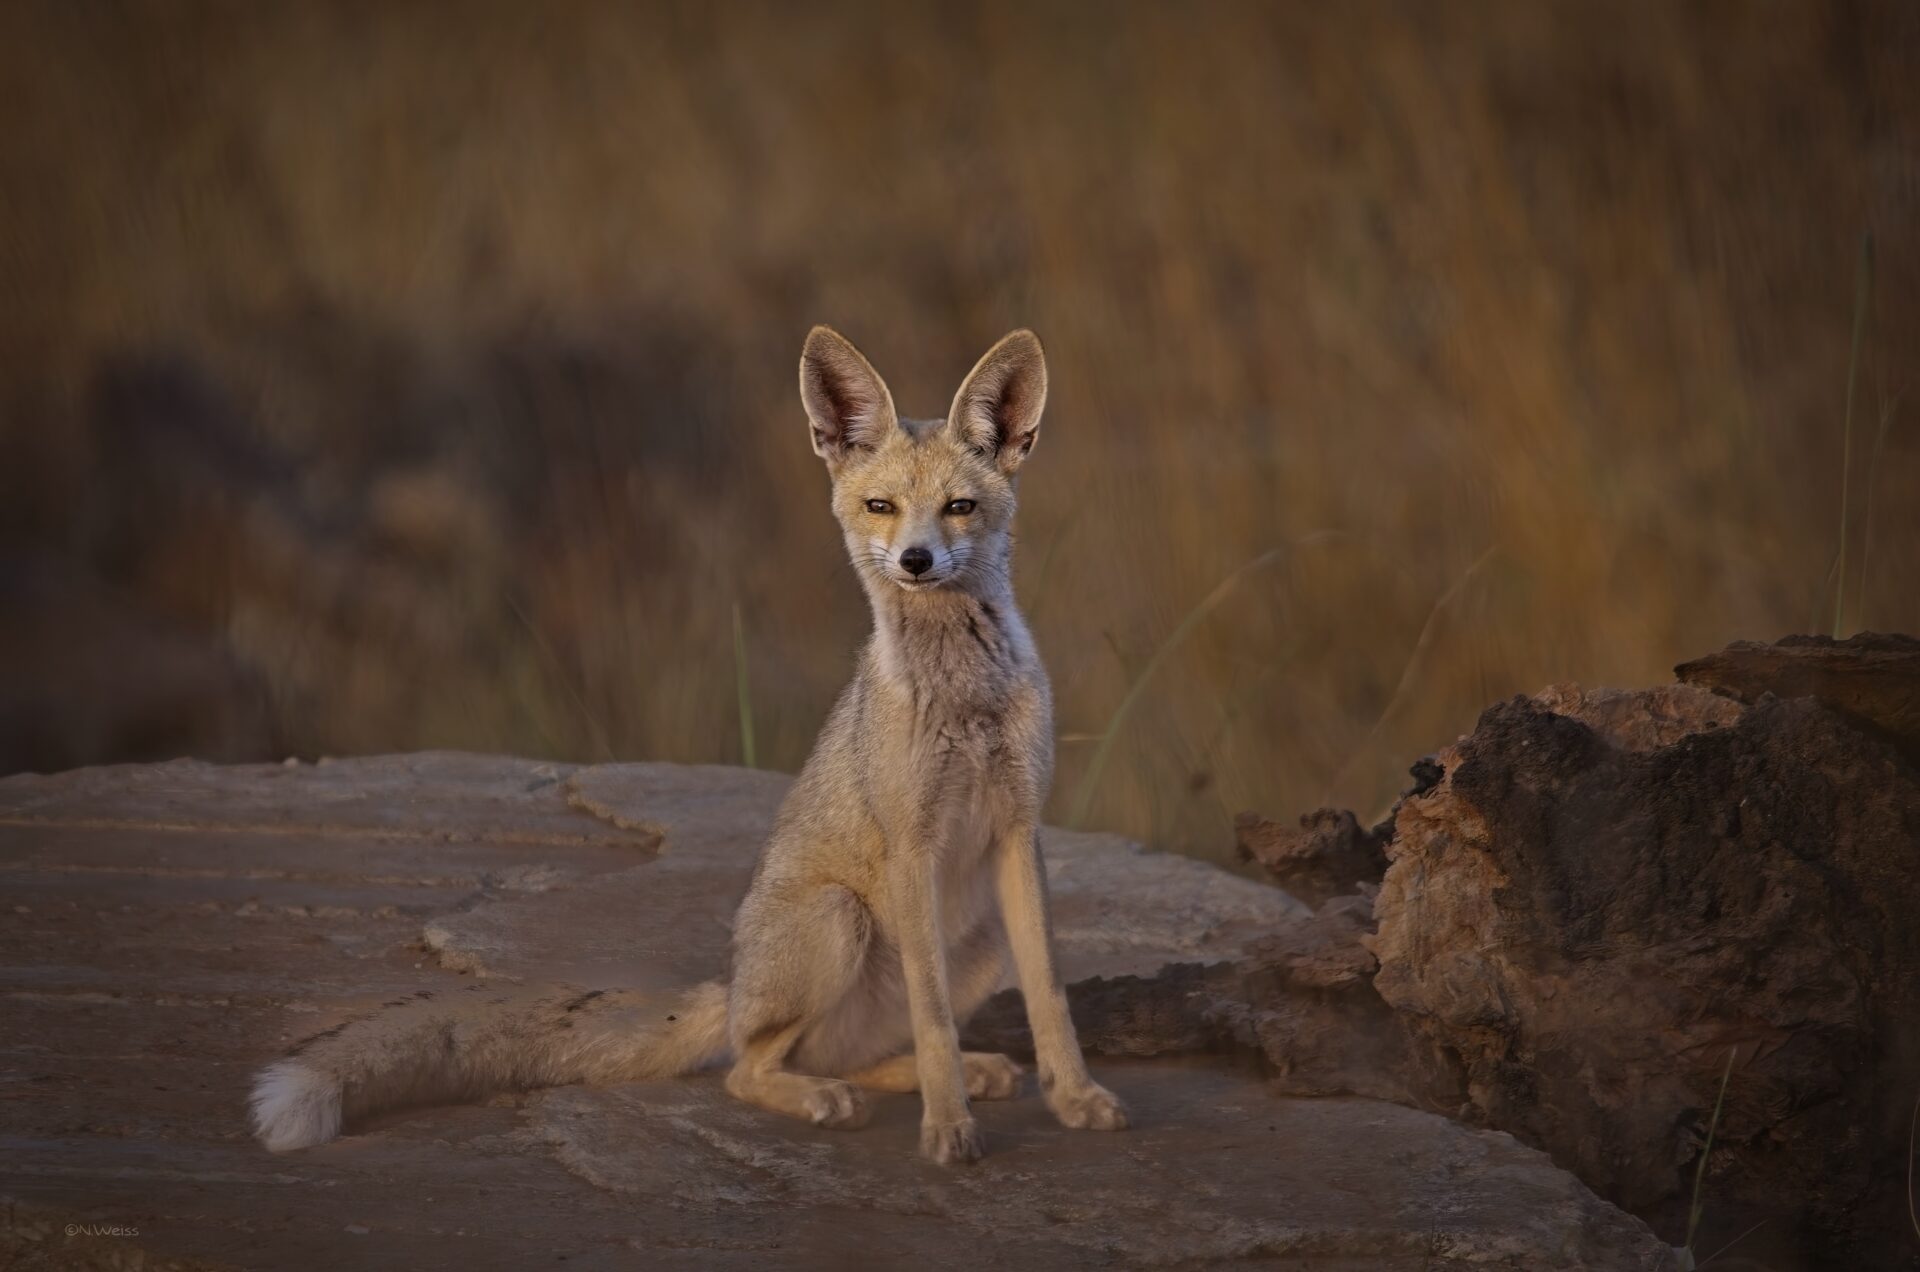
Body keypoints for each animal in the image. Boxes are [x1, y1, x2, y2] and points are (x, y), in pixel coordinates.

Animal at [249, 326, 1127, 1164]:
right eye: (881, 506)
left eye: (959, 507)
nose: (915, 560)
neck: (964, 697)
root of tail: (731, 989)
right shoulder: (911, 844)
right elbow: (935, 1020)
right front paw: (949, 1131)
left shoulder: (1019, 829)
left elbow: (1048, 995)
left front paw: (1075, 1099)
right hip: (840, 919)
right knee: (752, 1066)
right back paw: (824, 1096)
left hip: (977, 938)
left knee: (848, 1052)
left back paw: (945, 1077)